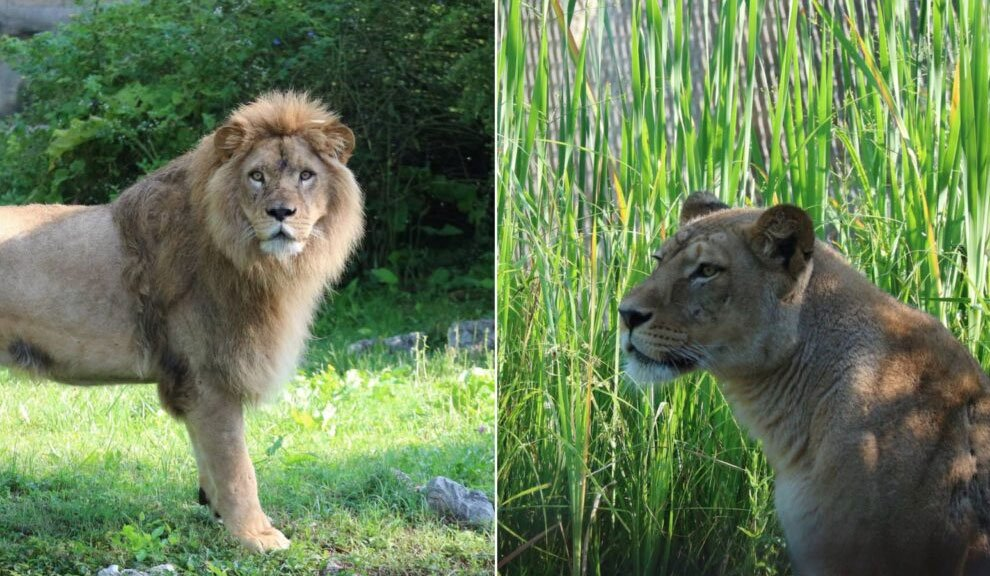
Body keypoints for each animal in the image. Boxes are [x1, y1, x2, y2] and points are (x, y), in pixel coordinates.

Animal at [0, 92, 364, 552]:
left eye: (306, 175)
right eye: (257, 176)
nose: (281, 212)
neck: (257, 263)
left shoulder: (193, 381)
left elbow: (208, 453)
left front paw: (216, 511)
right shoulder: (210, 375)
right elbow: (237, 465)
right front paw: (257, 535)